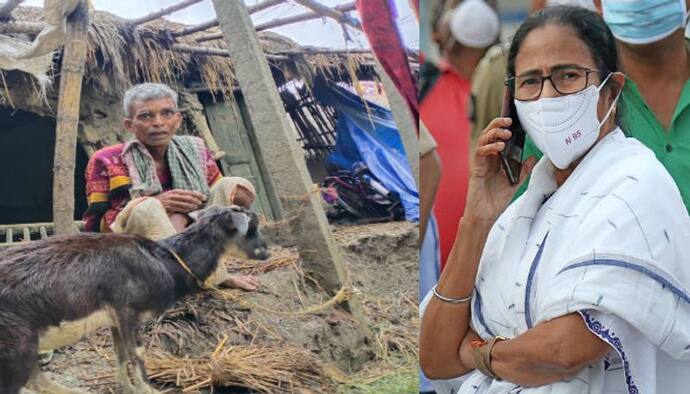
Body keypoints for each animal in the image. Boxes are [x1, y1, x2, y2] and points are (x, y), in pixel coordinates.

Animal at [0, 206, 268, 394]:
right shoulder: (128, 309)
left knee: (36, 379)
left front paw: (128, 388)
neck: (163, 260)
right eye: (251, 227)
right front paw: (148, 389)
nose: (267, 251)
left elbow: (121, 354)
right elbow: (136, 353)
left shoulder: (114, 319)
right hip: (17, 343)